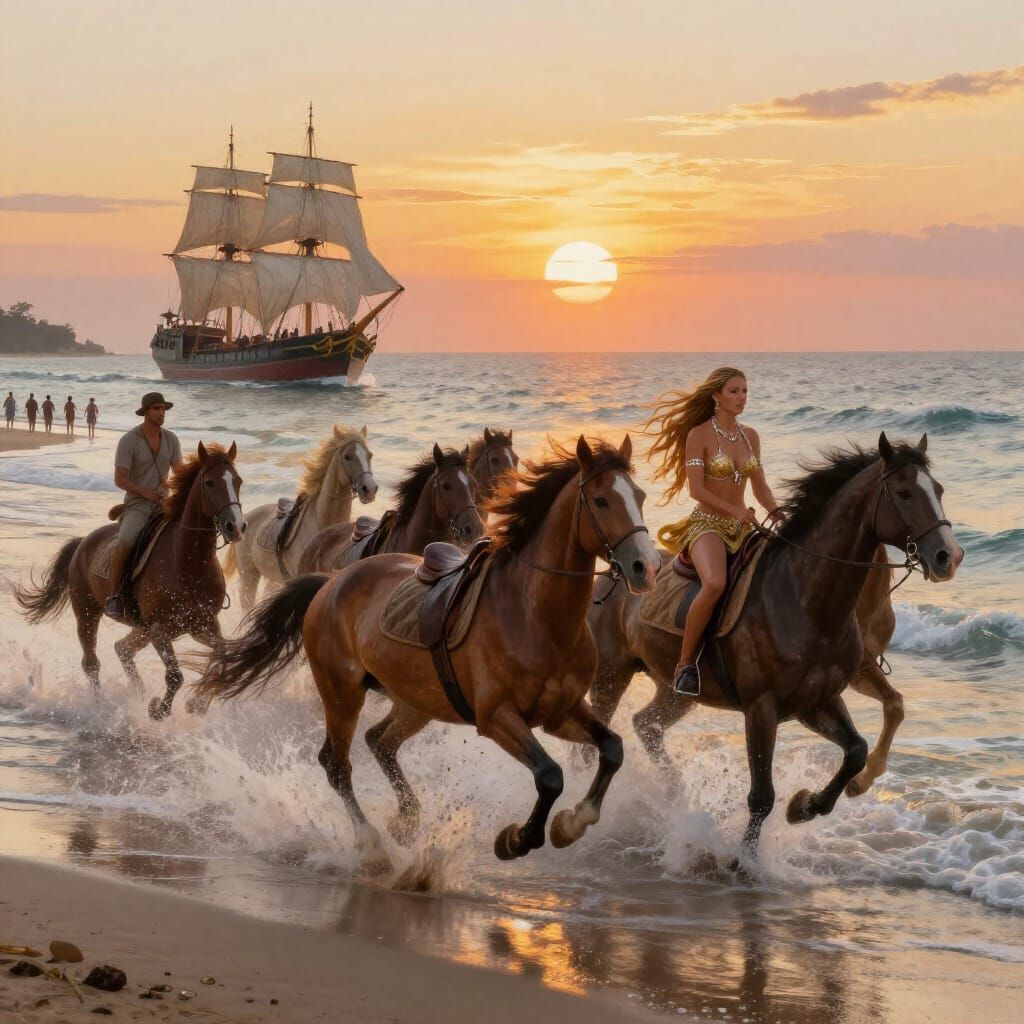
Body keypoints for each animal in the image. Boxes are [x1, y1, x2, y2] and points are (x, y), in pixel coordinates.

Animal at [15, 442, 246, 721]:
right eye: (210, 482)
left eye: (238, 481)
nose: (236, 527)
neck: (188, 561)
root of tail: (82, 543)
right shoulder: (160, 630)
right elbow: (175, 676)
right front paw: (158, 709)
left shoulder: (204, 626)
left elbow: (222, 657)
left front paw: (197, 704)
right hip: (87, 614)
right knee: (91, 663)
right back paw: (101, 707)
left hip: (140, 628)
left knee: (122, 648)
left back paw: (137, 692)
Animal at [586, 433, 962, 855]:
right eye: (904, 492)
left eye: (939, 490)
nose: (949, 556)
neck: (806, 600)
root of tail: (611, 577)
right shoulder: (761, 708)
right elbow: (762, 796)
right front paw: (745, 861)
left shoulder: (817, 701)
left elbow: (856, 750)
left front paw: (805, 806)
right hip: (611, 676)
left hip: (675, 691)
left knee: (646, 724)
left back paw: (673, 792)